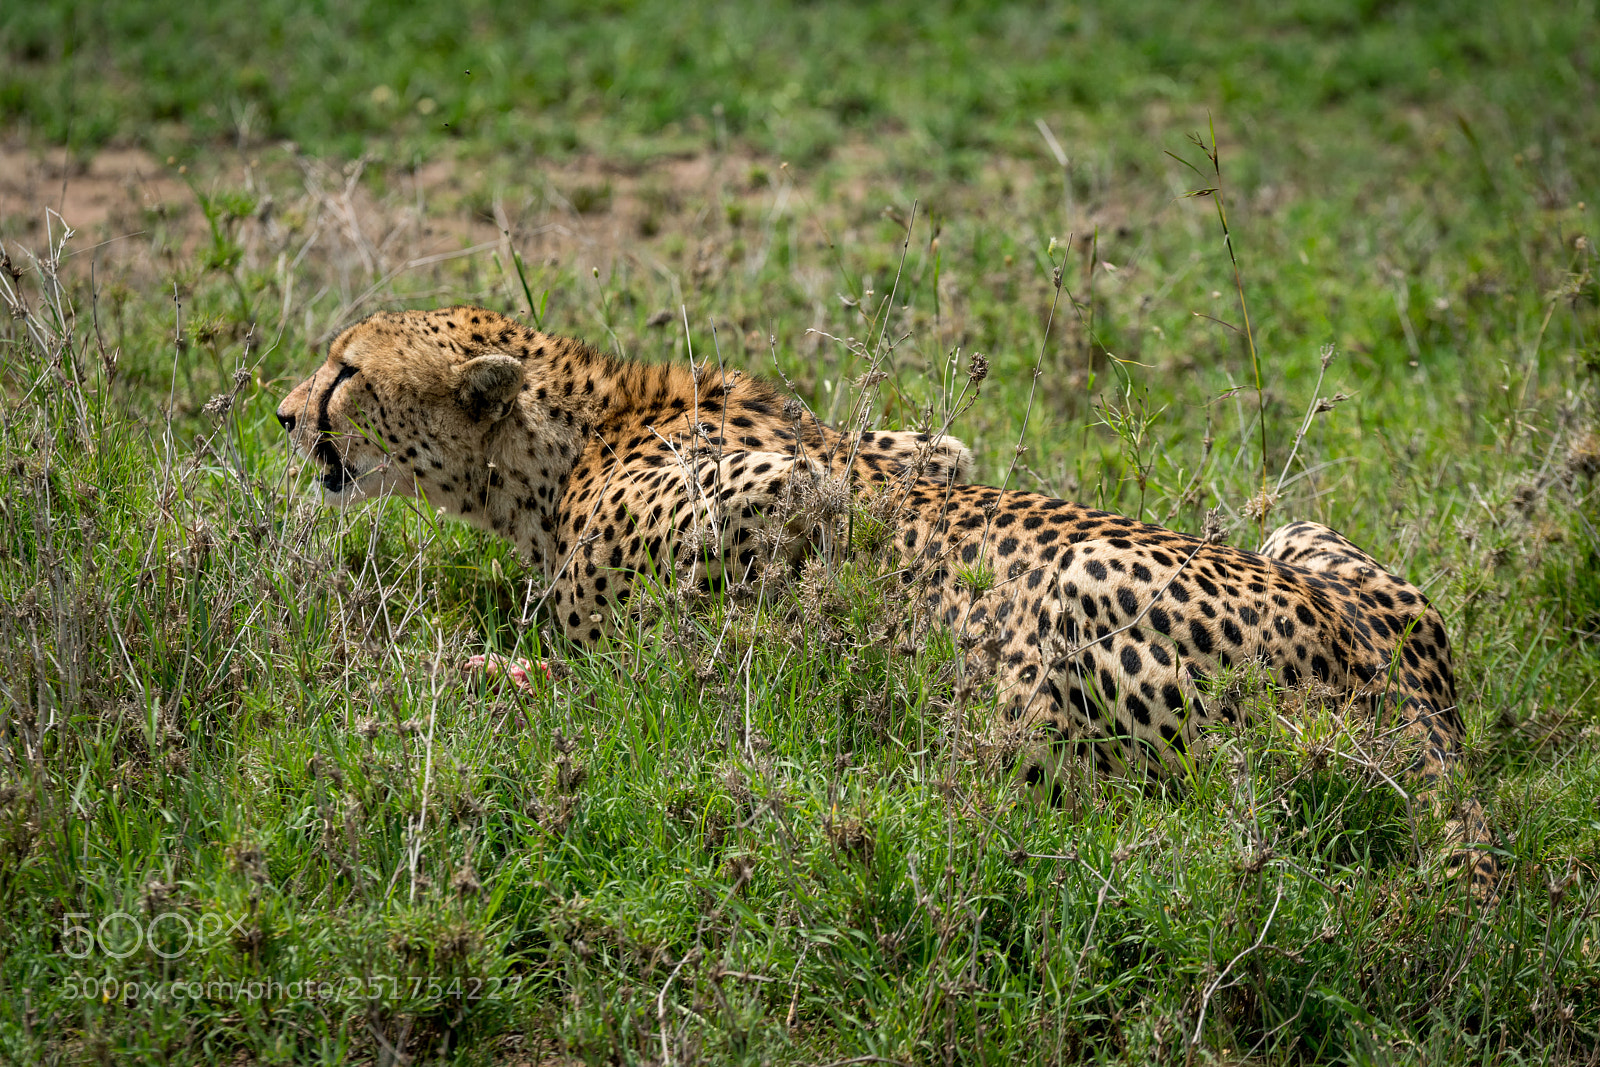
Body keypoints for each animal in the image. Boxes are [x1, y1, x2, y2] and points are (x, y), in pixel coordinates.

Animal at [278, 306, 1498, 896]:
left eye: (346, 370)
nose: (284, 414)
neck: (562, 442)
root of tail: (1418, 709)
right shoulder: (915, 447)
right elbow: (919, 458)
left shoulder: (788, 488)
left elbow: (616, 645)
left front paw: (478, 670)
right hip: (1312, 545)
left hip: (1086, 590)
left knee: (1135, 800)